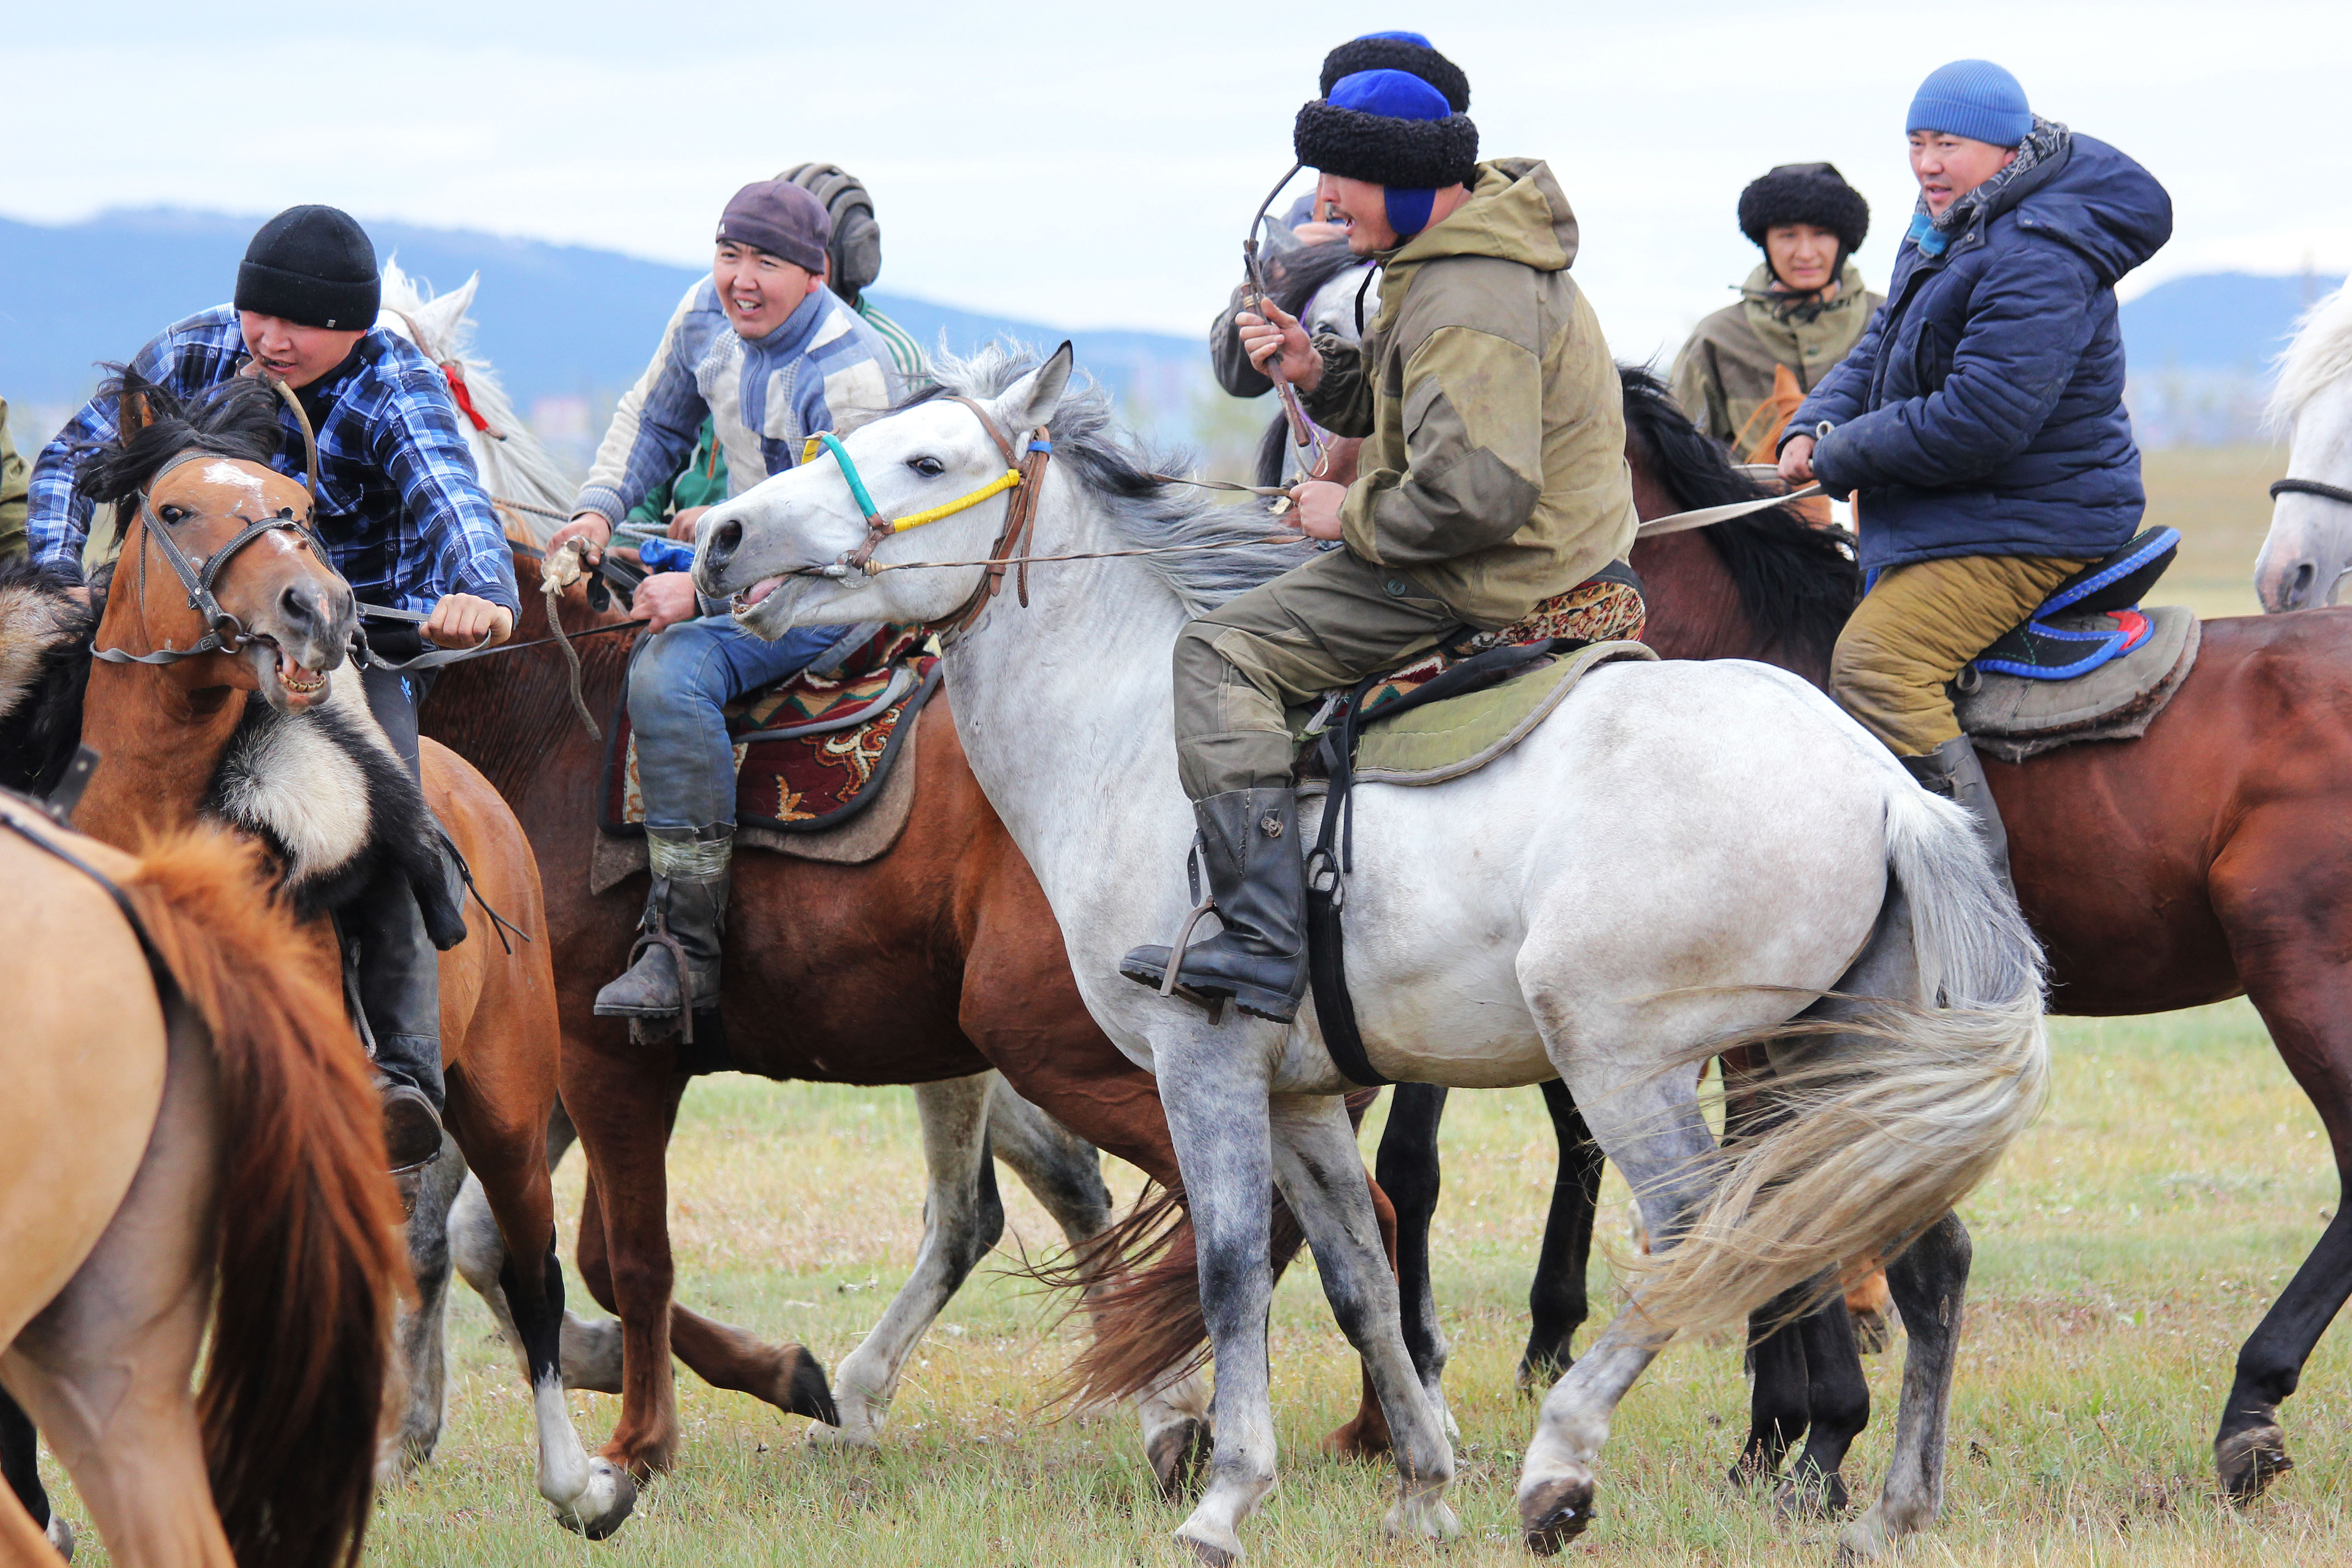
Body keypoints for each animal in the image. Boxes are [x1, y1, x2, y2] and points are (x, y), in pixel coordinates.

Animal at [686, 345, 2051, 1568]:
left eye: (928, 460)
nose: (722, 535)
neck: (1127, 728)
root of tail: (1885, 788)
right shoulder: (1302, 1094)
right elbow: (1360, 1273)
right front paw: (1421, 1487)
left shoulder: (1202, 1061)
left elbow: (1232, 1265)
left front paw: (1226, 1497)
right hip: (1839, 1057)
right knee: (1926, 1252)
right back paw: (1890, 1511)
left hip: (1627, 1060)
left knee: (1699, 1233)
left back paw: (1563, 1467)